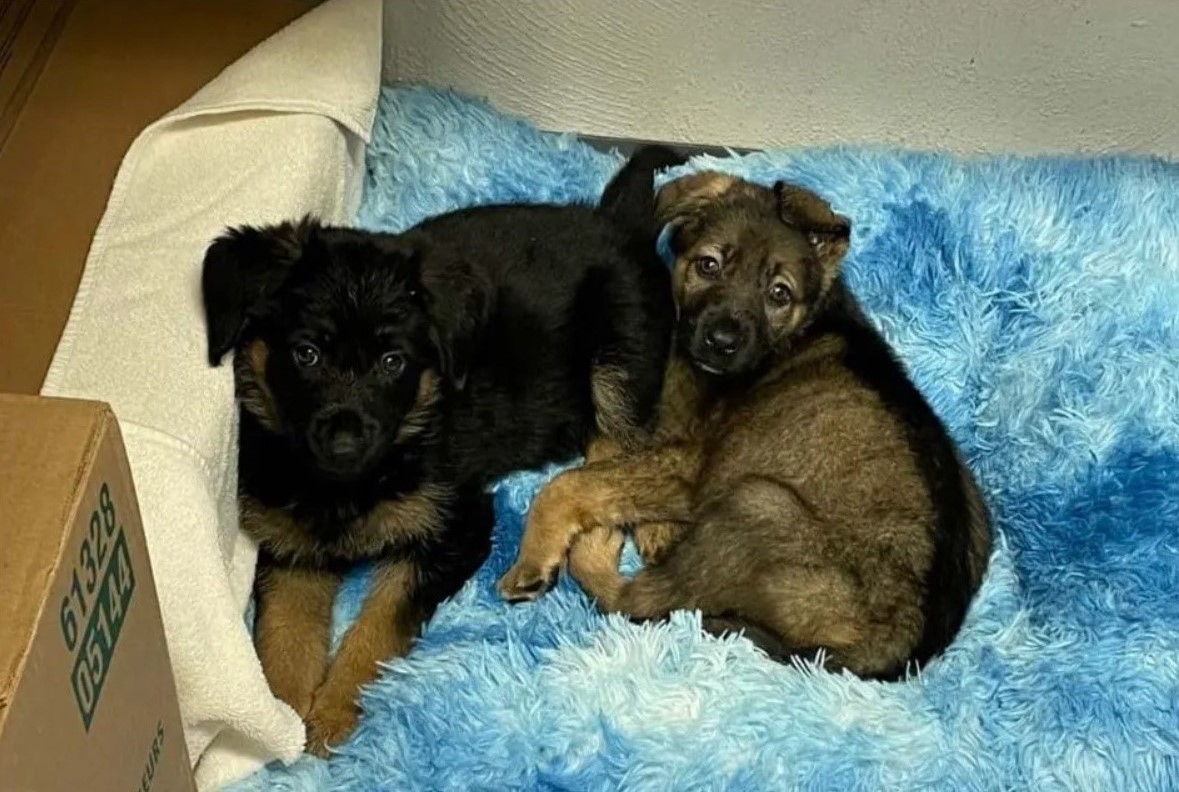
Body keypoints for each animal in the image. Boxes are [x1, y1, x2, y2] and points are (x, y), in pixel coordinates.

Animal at [202, 146, 683, 749]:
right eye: (305, 354)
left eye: (393, 363)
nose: (343, 443)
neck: (349, 484)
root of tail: (618, 223)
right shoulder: (292, 546)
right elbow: (281, 639)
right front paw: (282, 727)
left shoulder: (456, 524)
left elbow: (380, 624)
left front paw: (334, 712)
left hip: (620, 358)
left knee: (618, 456)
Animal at [499, 169, 995, 678]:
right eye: (709, 265)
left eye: (779, 293)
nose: (721, 341)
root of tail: (899, 649)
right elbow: (604, 455)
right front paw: (648, 526)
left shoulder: (693, 463)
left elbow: (573, 482)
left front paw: (537, 556)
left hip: (753, 502)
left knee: (634, 599)